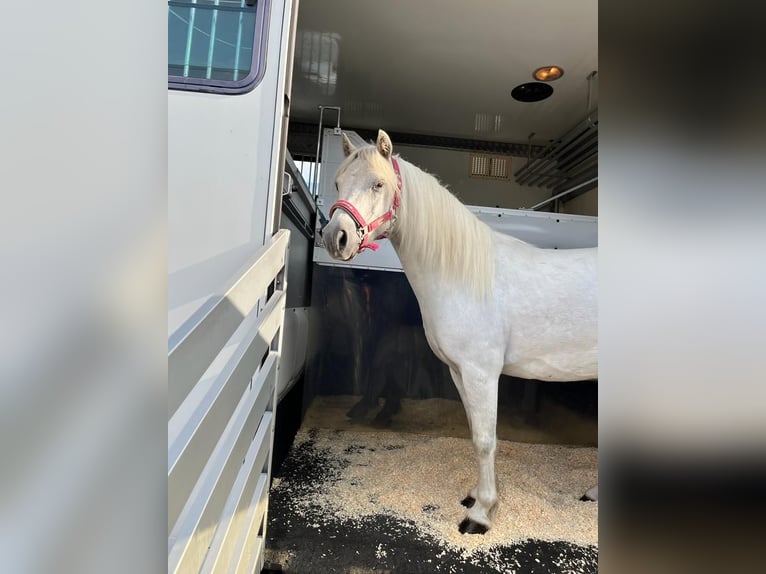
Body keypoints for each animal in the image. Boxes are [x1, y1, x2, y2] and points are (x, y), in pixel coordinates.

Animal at [320, 130, 596, 536]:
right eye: (338, 183)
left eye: (378, 184)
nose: (335, 238)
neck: (463, 276)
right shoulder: (459, 372)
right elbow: (473, 431)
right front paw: (475, 496)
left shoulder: (481, 373)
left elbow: (485, 440)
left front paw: (480, 514)